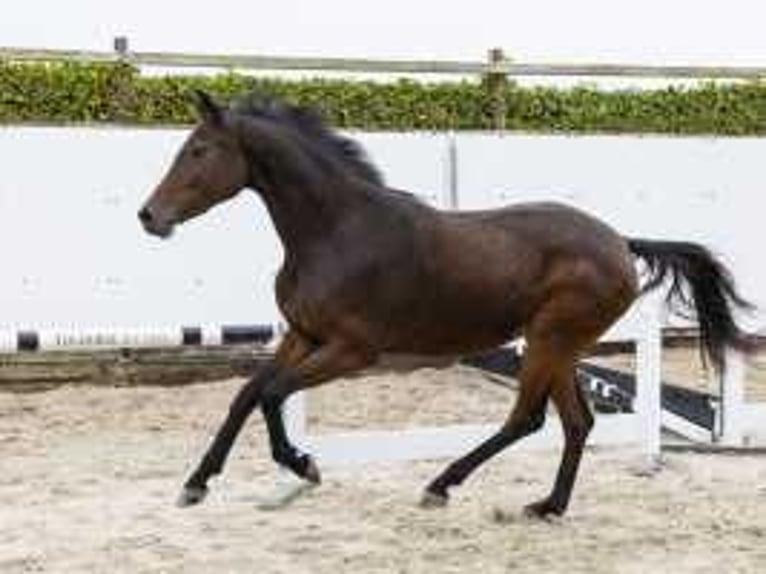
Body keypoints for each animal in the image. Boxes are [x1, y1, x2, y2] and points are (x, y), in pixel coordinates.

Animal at [140, 91, 756, 520]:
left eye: (198, 151)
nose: (150, 216)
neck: (335, 231)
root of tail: (621, 242)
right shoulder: (302, 336)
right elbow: (246, 395)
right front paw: (196, 483)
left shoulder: (351, 351)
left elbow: (272, 395)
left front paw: (304, 465)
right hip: (559, 346)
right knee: (577, 421)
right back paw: (547, 506)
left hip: (550, 339)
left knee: (528, 418)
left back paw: (441, 486)